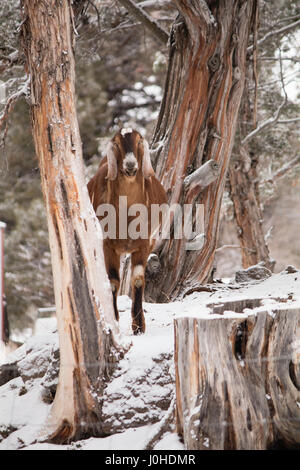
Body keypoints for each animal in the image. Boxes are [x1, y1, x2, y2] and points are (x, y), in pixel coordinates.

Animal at [87, 129, 166, 334]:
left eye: (139, 141)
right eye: (116, 143)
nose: (130, 165)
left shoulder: (144, 244)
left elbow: (137, 279)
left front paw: (138, 325)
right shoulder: (108, 245)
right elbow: (113, 281)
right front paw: (114, 319)